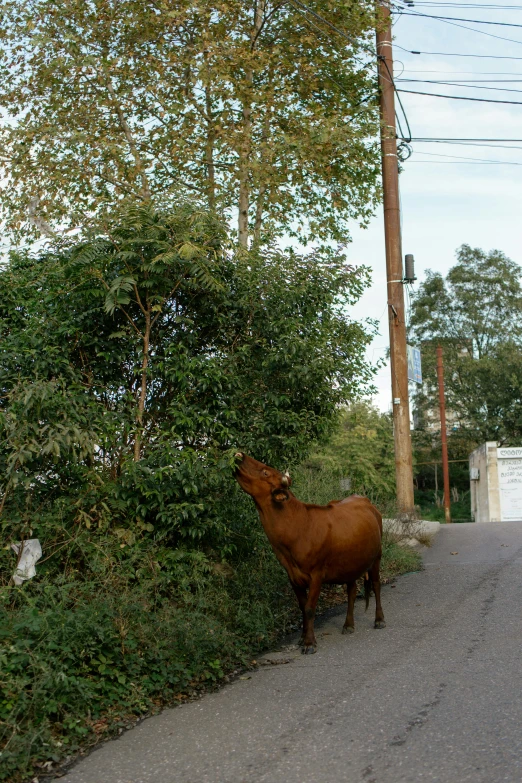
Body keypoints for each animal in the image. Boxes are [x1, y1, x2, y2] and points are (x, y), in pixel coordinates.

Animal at [234, 454, 384, 656]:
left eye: (265, 472)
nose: (239, 455)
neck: (297, 526)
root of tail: (363, 498)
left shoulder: (316, 574)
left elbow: (310, 608)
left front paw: (309, 643)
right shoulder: (292, 575)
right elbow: (302, 607)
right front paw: (302, 638)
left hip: (377, 556)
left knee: (376, 585)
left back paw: (379, 620)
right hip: (350, 562)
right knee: (352, 590)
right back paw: (348, 624)